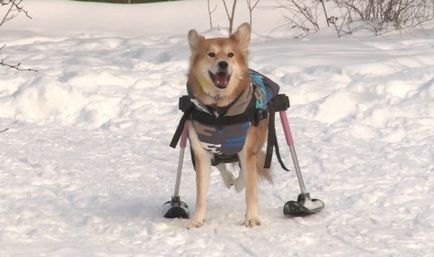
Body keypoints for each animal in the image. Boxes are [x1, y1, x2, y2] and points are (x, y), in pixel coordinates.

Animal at [186, 23, 272, 228]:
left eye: (230, 55)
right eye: (211, 54)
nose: (223, 64)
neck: (219, 111)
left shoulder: (247, 149)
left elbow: (250, 188)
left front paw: (251, 217)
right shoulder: (201, 153)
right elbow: (201, 193)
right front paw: (197, 220)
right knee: (220, 163)